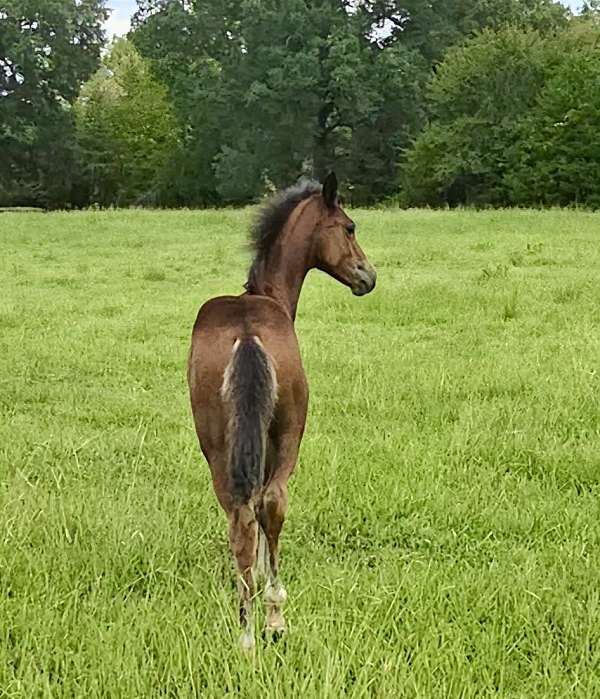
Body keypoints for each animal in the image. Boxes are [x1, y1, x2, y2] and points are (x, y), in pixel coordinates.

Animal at [187, 172, 377, 650]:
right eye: (350, 227)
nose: (368, 276)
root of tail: (248, 333)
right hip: (290, 432)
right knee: (270, 504)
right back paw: (272, 617)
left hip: (217, 445)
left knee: (240, 513)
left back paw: (246, 629)